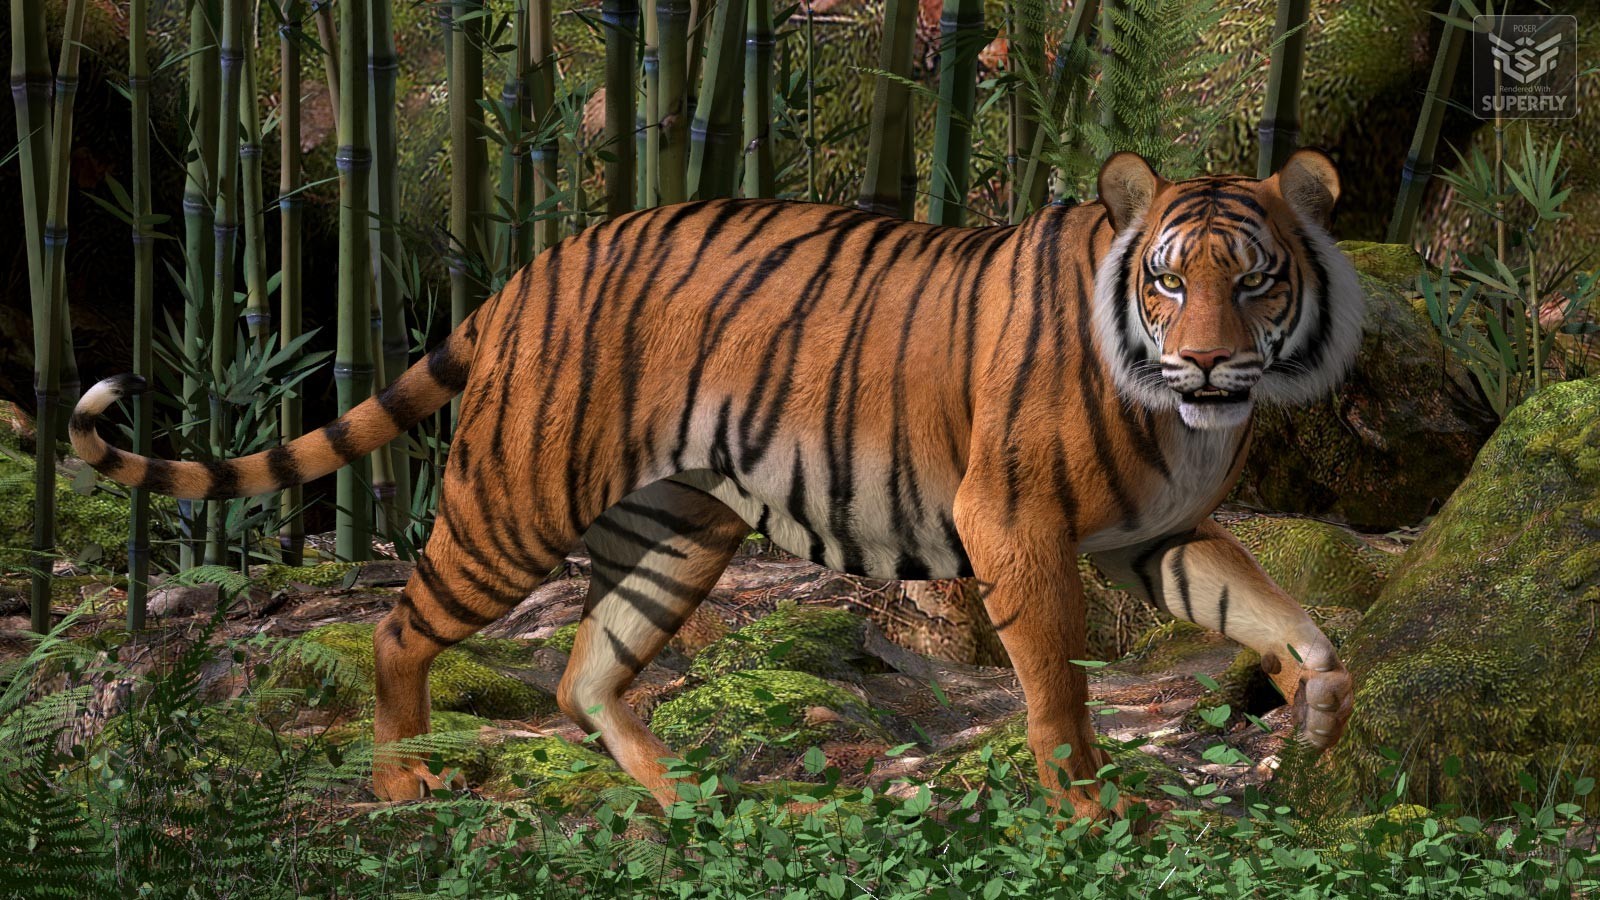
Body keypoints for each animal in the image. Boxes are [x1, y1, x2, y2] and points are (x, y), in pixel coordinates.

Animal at [70, 149, 1363, 827]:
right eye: (1167, 283)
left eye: (1253, 282)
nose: (1207, 362)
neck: (1182, 418)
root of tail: (529, 269)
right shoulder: (1016, 525)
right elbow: (1057, 692)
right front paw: (1087, 818)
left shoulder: (1161, 534)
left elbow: (1287, 619)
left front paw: (1320, 707)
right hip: (513, 506)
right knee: (398, 628)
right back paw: (401, 782)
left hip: (671, 531)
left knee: (585, 675)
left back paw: (685, 800)